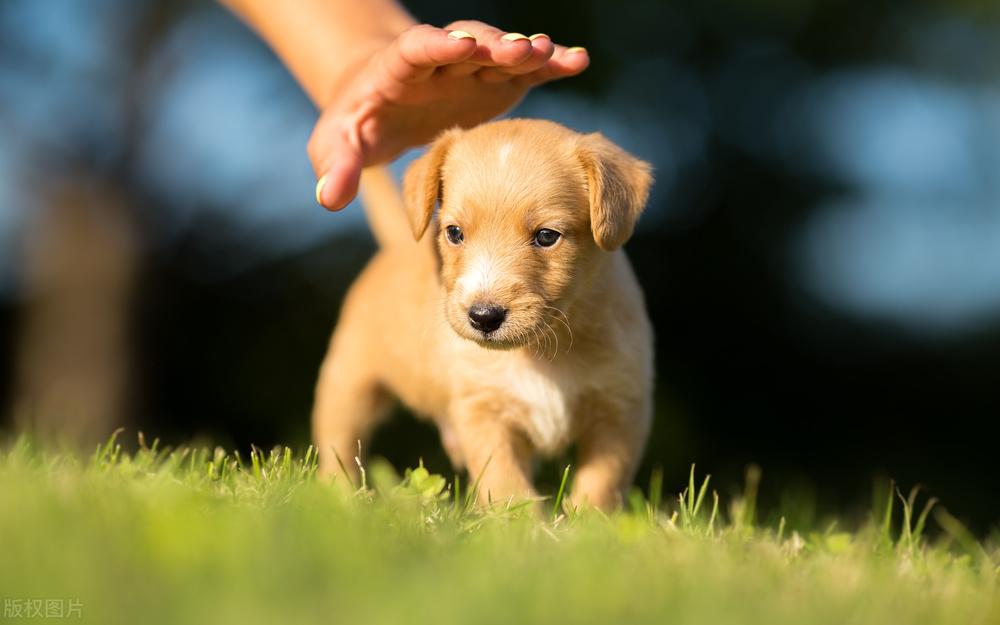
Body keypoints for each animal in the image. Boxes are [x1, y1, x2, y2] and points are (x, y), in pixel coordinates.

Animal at [314, 119, 656, 510]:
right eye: (454, 232)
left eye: (547, 236)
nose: (483, 316)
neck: (542, 353)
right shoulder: (483, 413)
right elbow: (506, 483)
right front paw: (522, 522)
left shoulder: (620, 410)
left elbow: (601, 483)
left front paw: (588, 521)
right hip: (348, 381)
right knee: (339, 443)